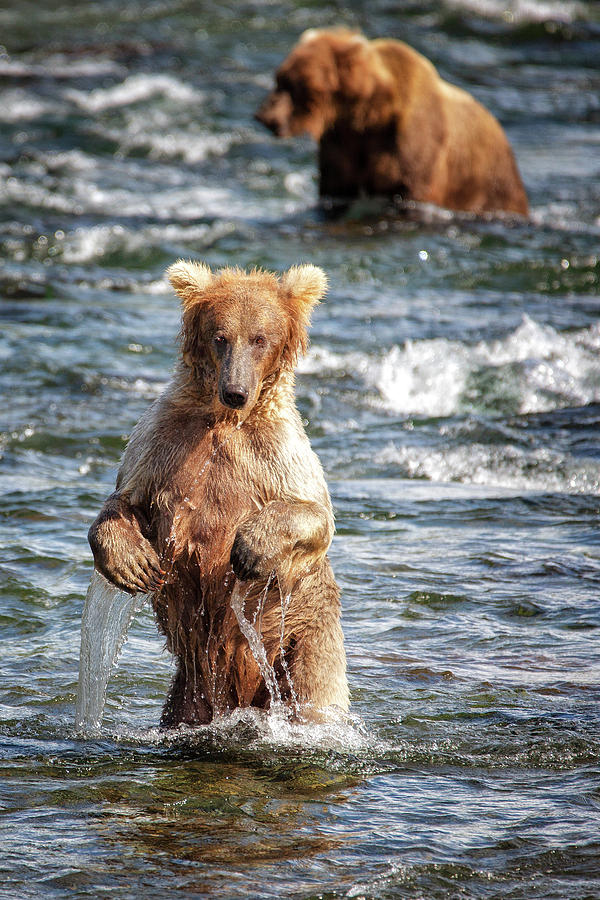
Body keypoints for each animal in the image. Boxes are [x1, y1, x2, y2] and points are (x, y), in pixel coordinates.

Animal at [85, 258, 346, 724]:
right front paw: (133, 563)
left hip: (304, 637)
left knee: (317, 690)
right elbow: (124, 500)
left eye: (260, 338)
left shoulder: (277, 451)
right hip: (189, 690)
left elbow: (315, 513)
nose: (236, 391)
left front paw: (250, 547)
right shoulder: (163, 441)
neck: (224, 420)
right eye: (220, 336)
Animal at [255, 27, 528, 217]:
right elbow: (335, 191)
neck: (369, 117)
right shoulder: (341, 145)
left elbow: (410, 193)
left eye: (295, 84)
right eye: (279, 77)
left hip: (488, 181)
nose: (263, 116)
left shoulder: (412, 150)